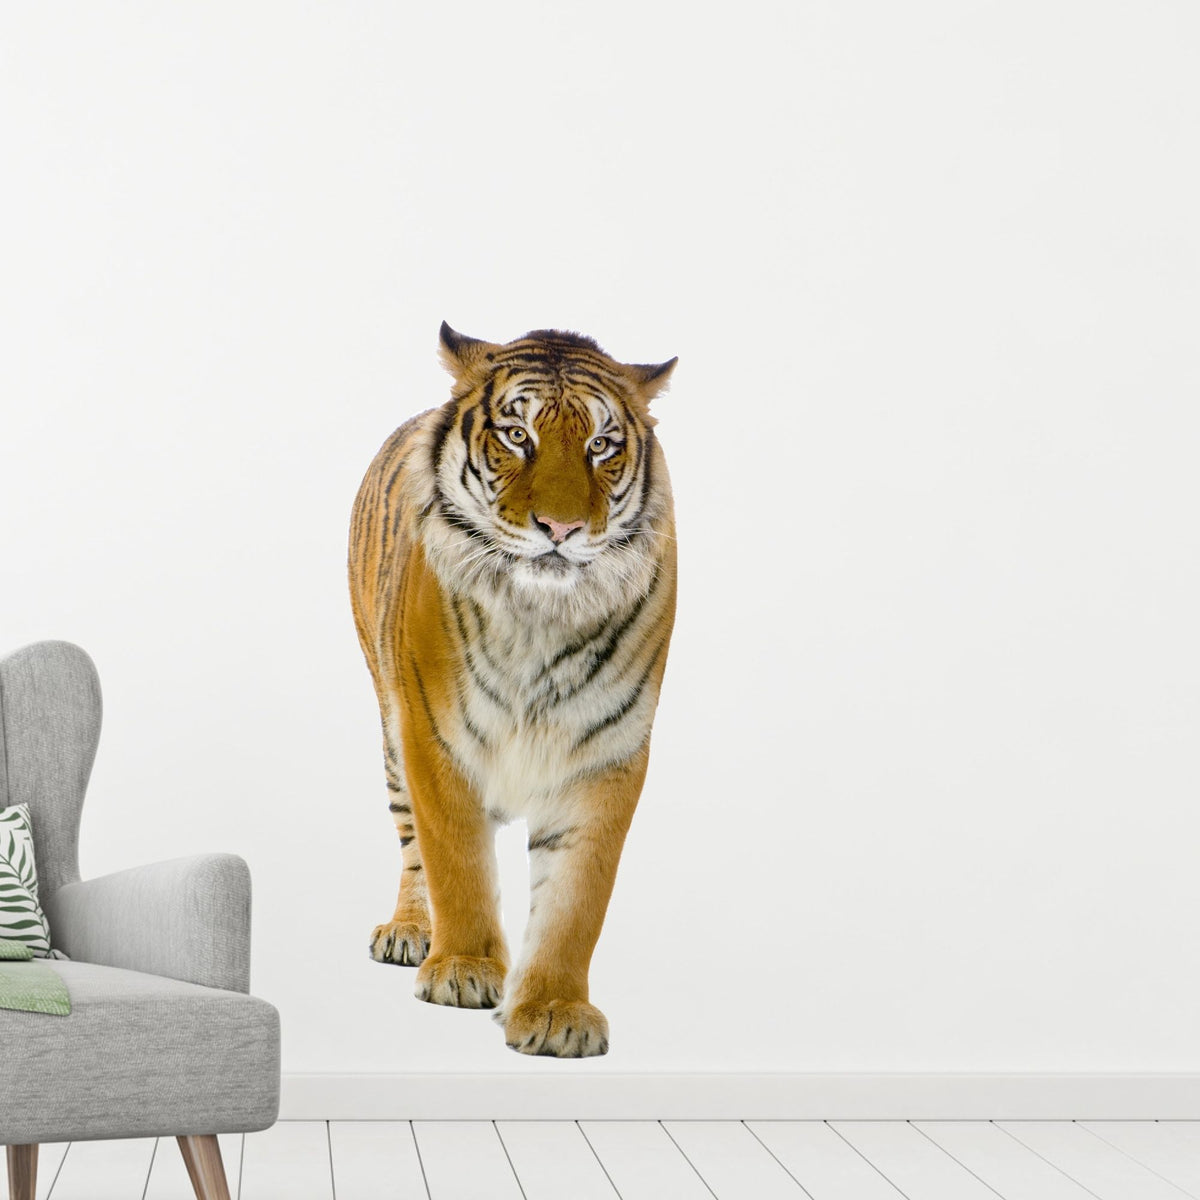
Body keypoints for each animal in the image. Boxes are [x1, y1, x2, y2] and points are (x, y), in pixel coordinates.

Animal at [348, 323, 677, 1057]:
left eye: (601, 445)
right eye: (517, 436)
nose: (560, 529)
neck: (539, 617)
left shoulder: (606, 754)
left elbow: (576, 900)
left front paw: (555, 1010)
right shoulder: (435, 737)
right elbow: (457, 863)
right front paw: (464, 969)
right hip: (388, 726)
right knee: (411, 844)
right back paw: (411, 932)